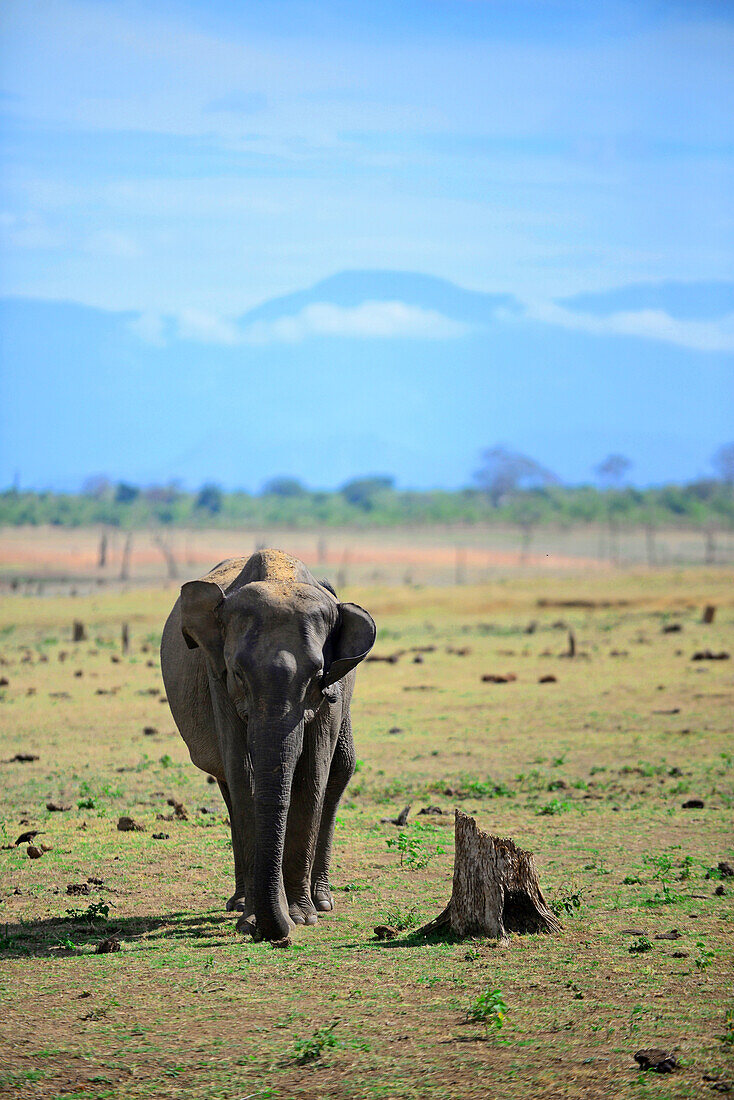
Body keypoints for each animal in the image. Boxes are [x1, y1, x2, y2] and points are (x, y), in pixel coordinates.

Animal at [161, 545, 378, 941]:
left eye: (318, 675)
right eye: (238, 672)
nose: (277, 933)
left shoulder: (333, 692)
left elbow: (311, 776)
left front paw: (300, 916)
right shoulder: (218, 680)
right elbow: (244, 773)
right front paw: (252, 922)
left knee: (341, 770)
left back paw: (321, 901)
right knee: (227, 784)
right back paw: (240, 903)